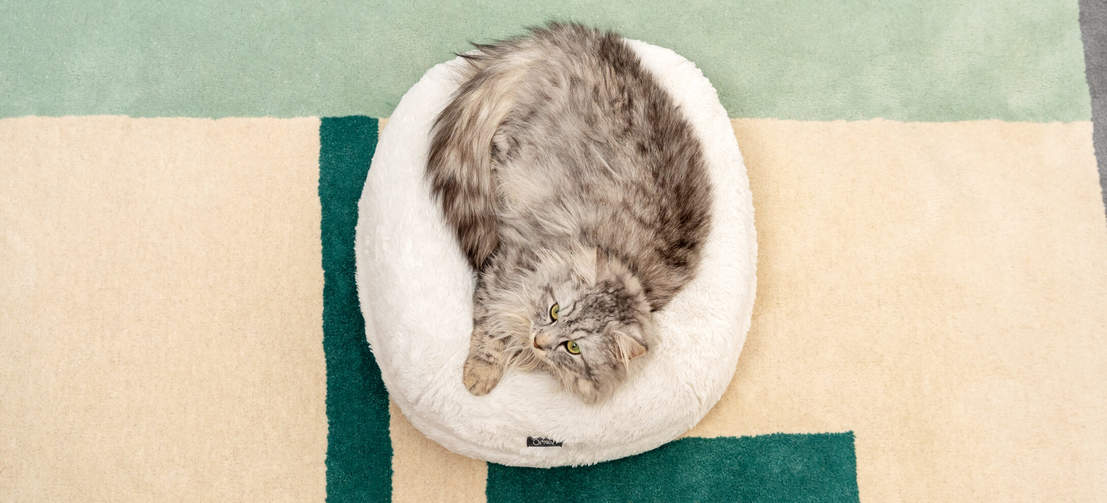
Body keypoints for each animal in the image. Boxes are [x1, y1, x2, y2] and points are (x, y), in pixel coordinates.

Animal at [422, 22, 708, 405]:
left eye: (573, 347)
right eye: (554, 311)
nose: (539, 341)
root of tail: (570, 38)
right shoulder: (503, 273)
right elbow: (490, 332)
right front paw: (479, 376)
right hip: (514, 143)